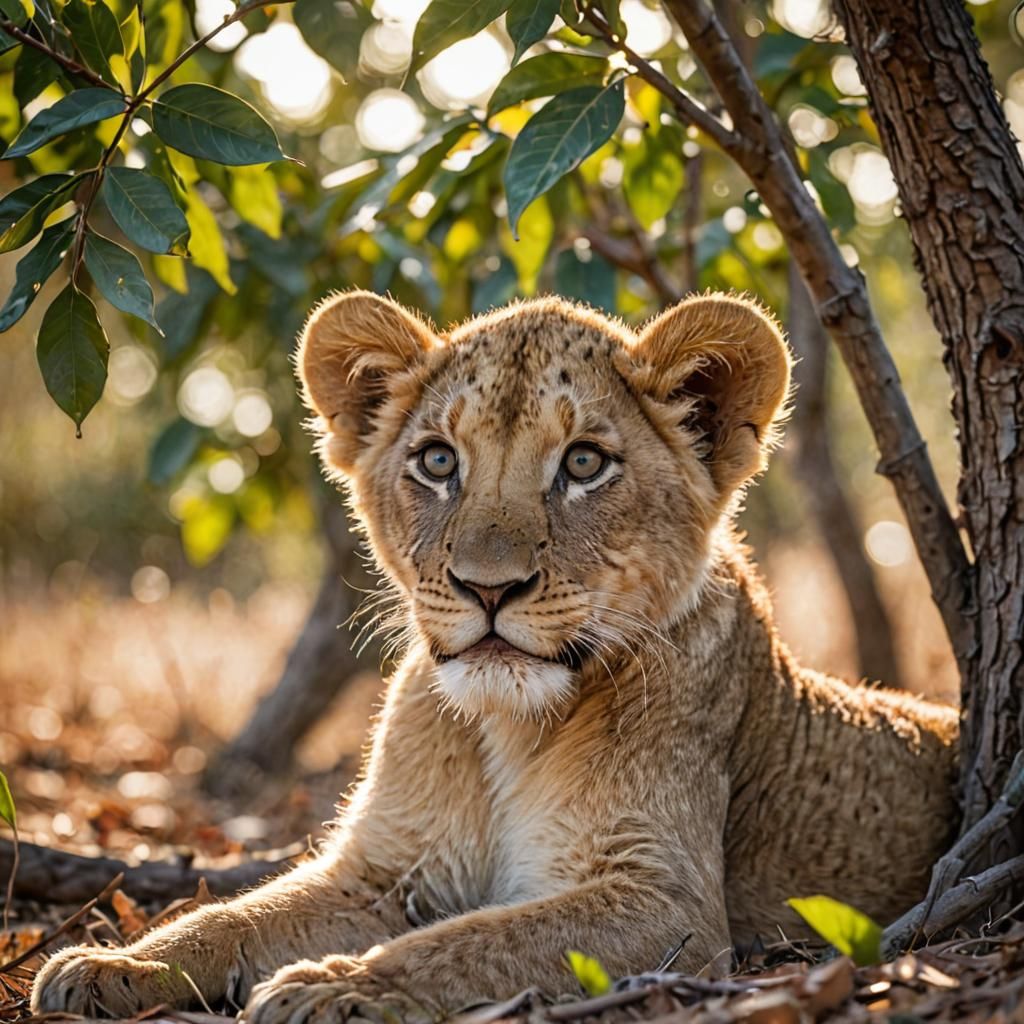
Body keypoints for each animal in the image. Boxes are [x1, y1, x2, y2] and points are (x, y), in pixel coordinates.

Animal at [33, 291, 958, 1022]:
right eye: (438, 460)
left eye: (584, 462)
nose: (488, 588)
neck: (510, 726)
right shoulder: (383, 870)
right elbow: (233, 916)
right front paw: (112, 963)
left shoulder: (669, 902)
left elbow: (475, 939)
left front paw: (337, 987)